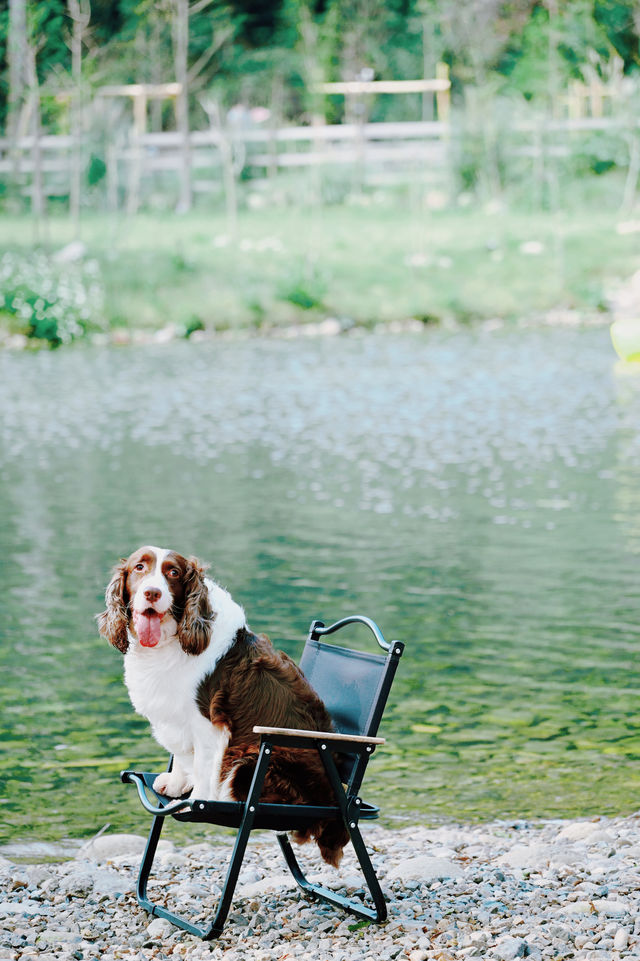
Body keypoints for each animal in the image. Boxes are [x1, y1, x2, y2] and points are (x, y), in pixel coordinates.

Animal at [97, 544, 348, 868]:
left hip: (254, 761)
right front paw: (176, 784)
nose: (152, 593)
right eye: (139, 567)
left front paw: (197, 800)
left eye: (173, 573)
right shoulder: (177, 716)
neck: (173, 639)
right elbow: (181, 757)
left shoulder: (208, 724)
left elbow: (204, 766)